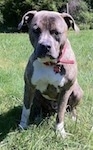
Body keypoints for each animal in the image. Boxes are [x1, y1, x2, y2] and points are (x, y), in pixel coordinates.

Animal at [18, 9, 83, 138]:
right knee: (40, 107)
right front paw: (23, 126)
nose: (44, 45)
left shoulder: (65, 91)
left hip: (77, 91)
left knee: (71, 108)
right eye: (36, 30)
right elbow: (26, 109)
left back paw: (73, 117)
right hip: (37, 94)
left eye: (56, 32)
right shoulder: (29, 87)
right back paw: (38, 117)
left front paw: (60, 132)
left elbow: (60, 114)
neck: (50, 64)